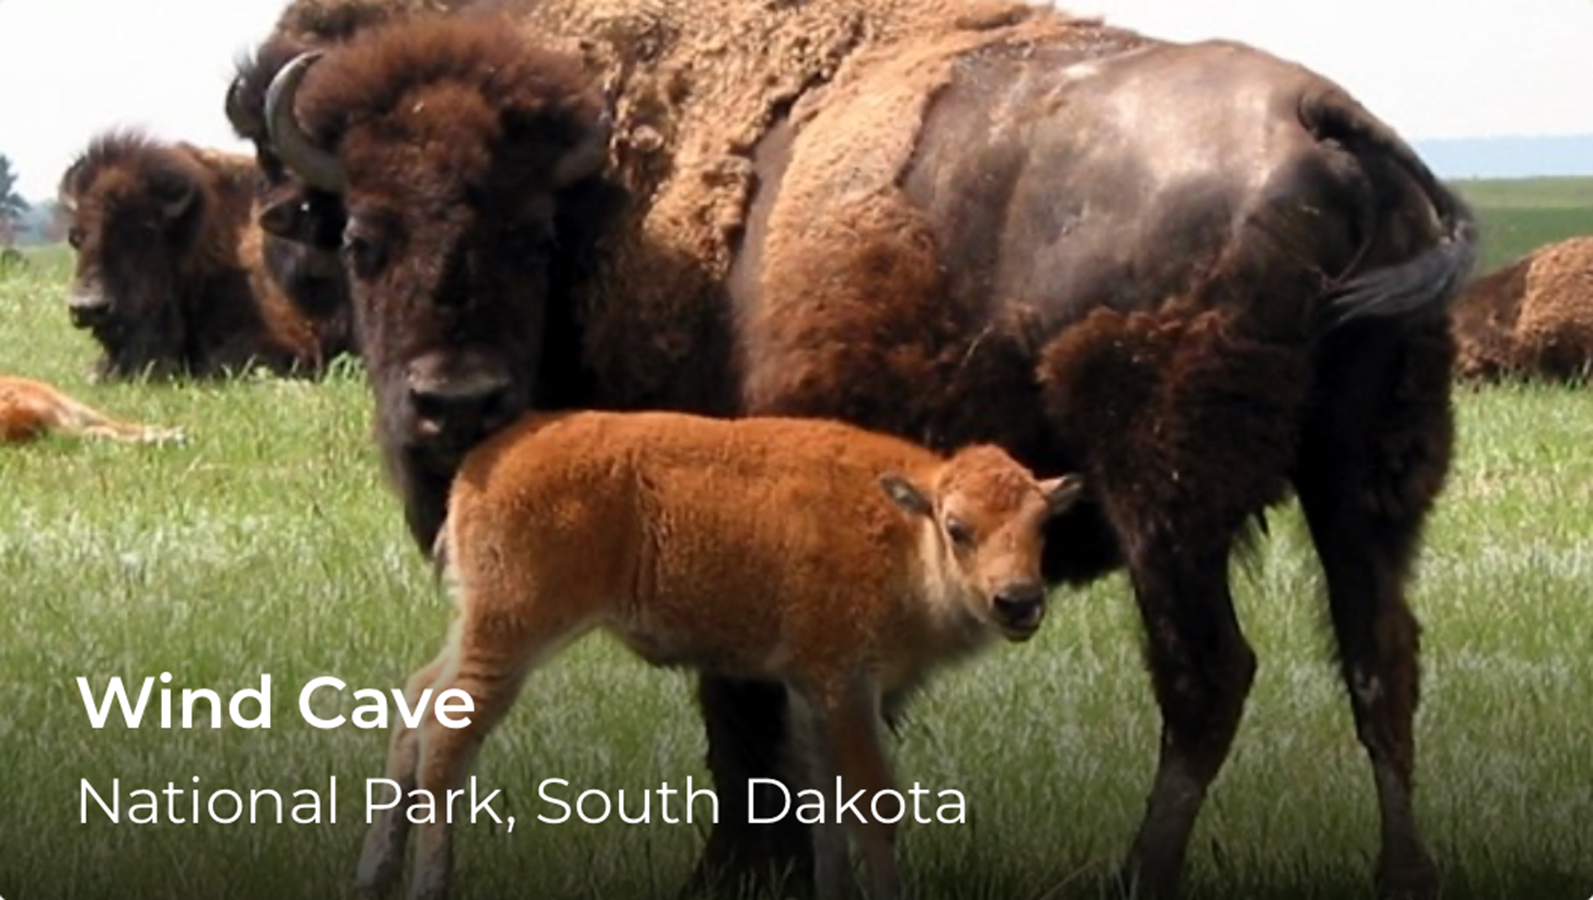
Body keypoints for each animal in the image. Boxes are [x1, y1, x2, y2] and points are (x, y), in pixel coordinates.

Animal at [248, 3, 1476, 898]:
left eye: (531, 235)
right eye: (362, 235)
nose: (454, 403)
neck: (613, 195)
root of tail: (1324, 118)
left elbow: (743, 720)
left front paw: (733, 872)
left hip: (1166, 502)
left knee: (1208, 678)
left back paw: (1136, 875)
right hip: (1367, 489)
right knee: (1380, 663)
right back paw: (1403, 876)